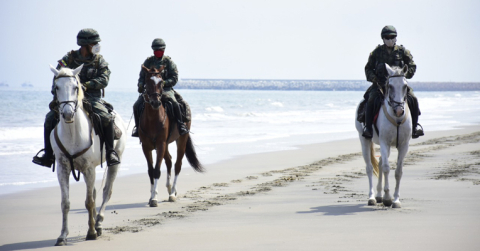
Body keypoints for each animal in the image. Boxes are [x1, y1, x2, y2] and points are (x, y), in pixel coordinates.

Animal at [49, 64, 126, 245]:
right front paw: (62, 236)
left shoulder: (89, 169)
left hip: (115, 163)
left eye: (76, 87)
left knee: (106, 191)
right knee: (96, 192)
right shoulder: (63, 169)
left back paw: (98, 223)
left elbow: (89, 202)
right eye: (57, 87)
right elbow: (65, 203)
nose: (68, 114)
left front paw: (91, 232)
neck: (73, 133)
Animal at [139, 65, 202, 208]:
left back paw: (172, 193)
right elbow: (151, 171)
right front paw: (151, 196)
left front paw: (154, 198)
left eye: (161, 82)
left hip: (181, 140)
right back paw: (169, 189)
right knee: (169, 160)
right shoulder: (146, 147)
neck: (152, 119)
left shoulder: (160, 144)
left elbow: (157, 170)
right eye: (147, 82)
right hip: (166, 144)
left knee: (177, 164)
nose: (155, 102)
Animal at [354, 63, 410, 209]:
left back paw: (379, 195)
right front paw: (388, 198)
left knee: (379, 163)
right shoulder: (384, 142)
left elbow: (398, 171)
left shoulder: (404, 145)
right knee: (369, 168)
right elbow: (386, 168)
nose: (399, 110)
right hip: (364, 140)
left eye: (405, 86)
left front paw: (396, 200)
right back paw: (372, 197)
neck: (396, 119)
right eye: (389, 86)